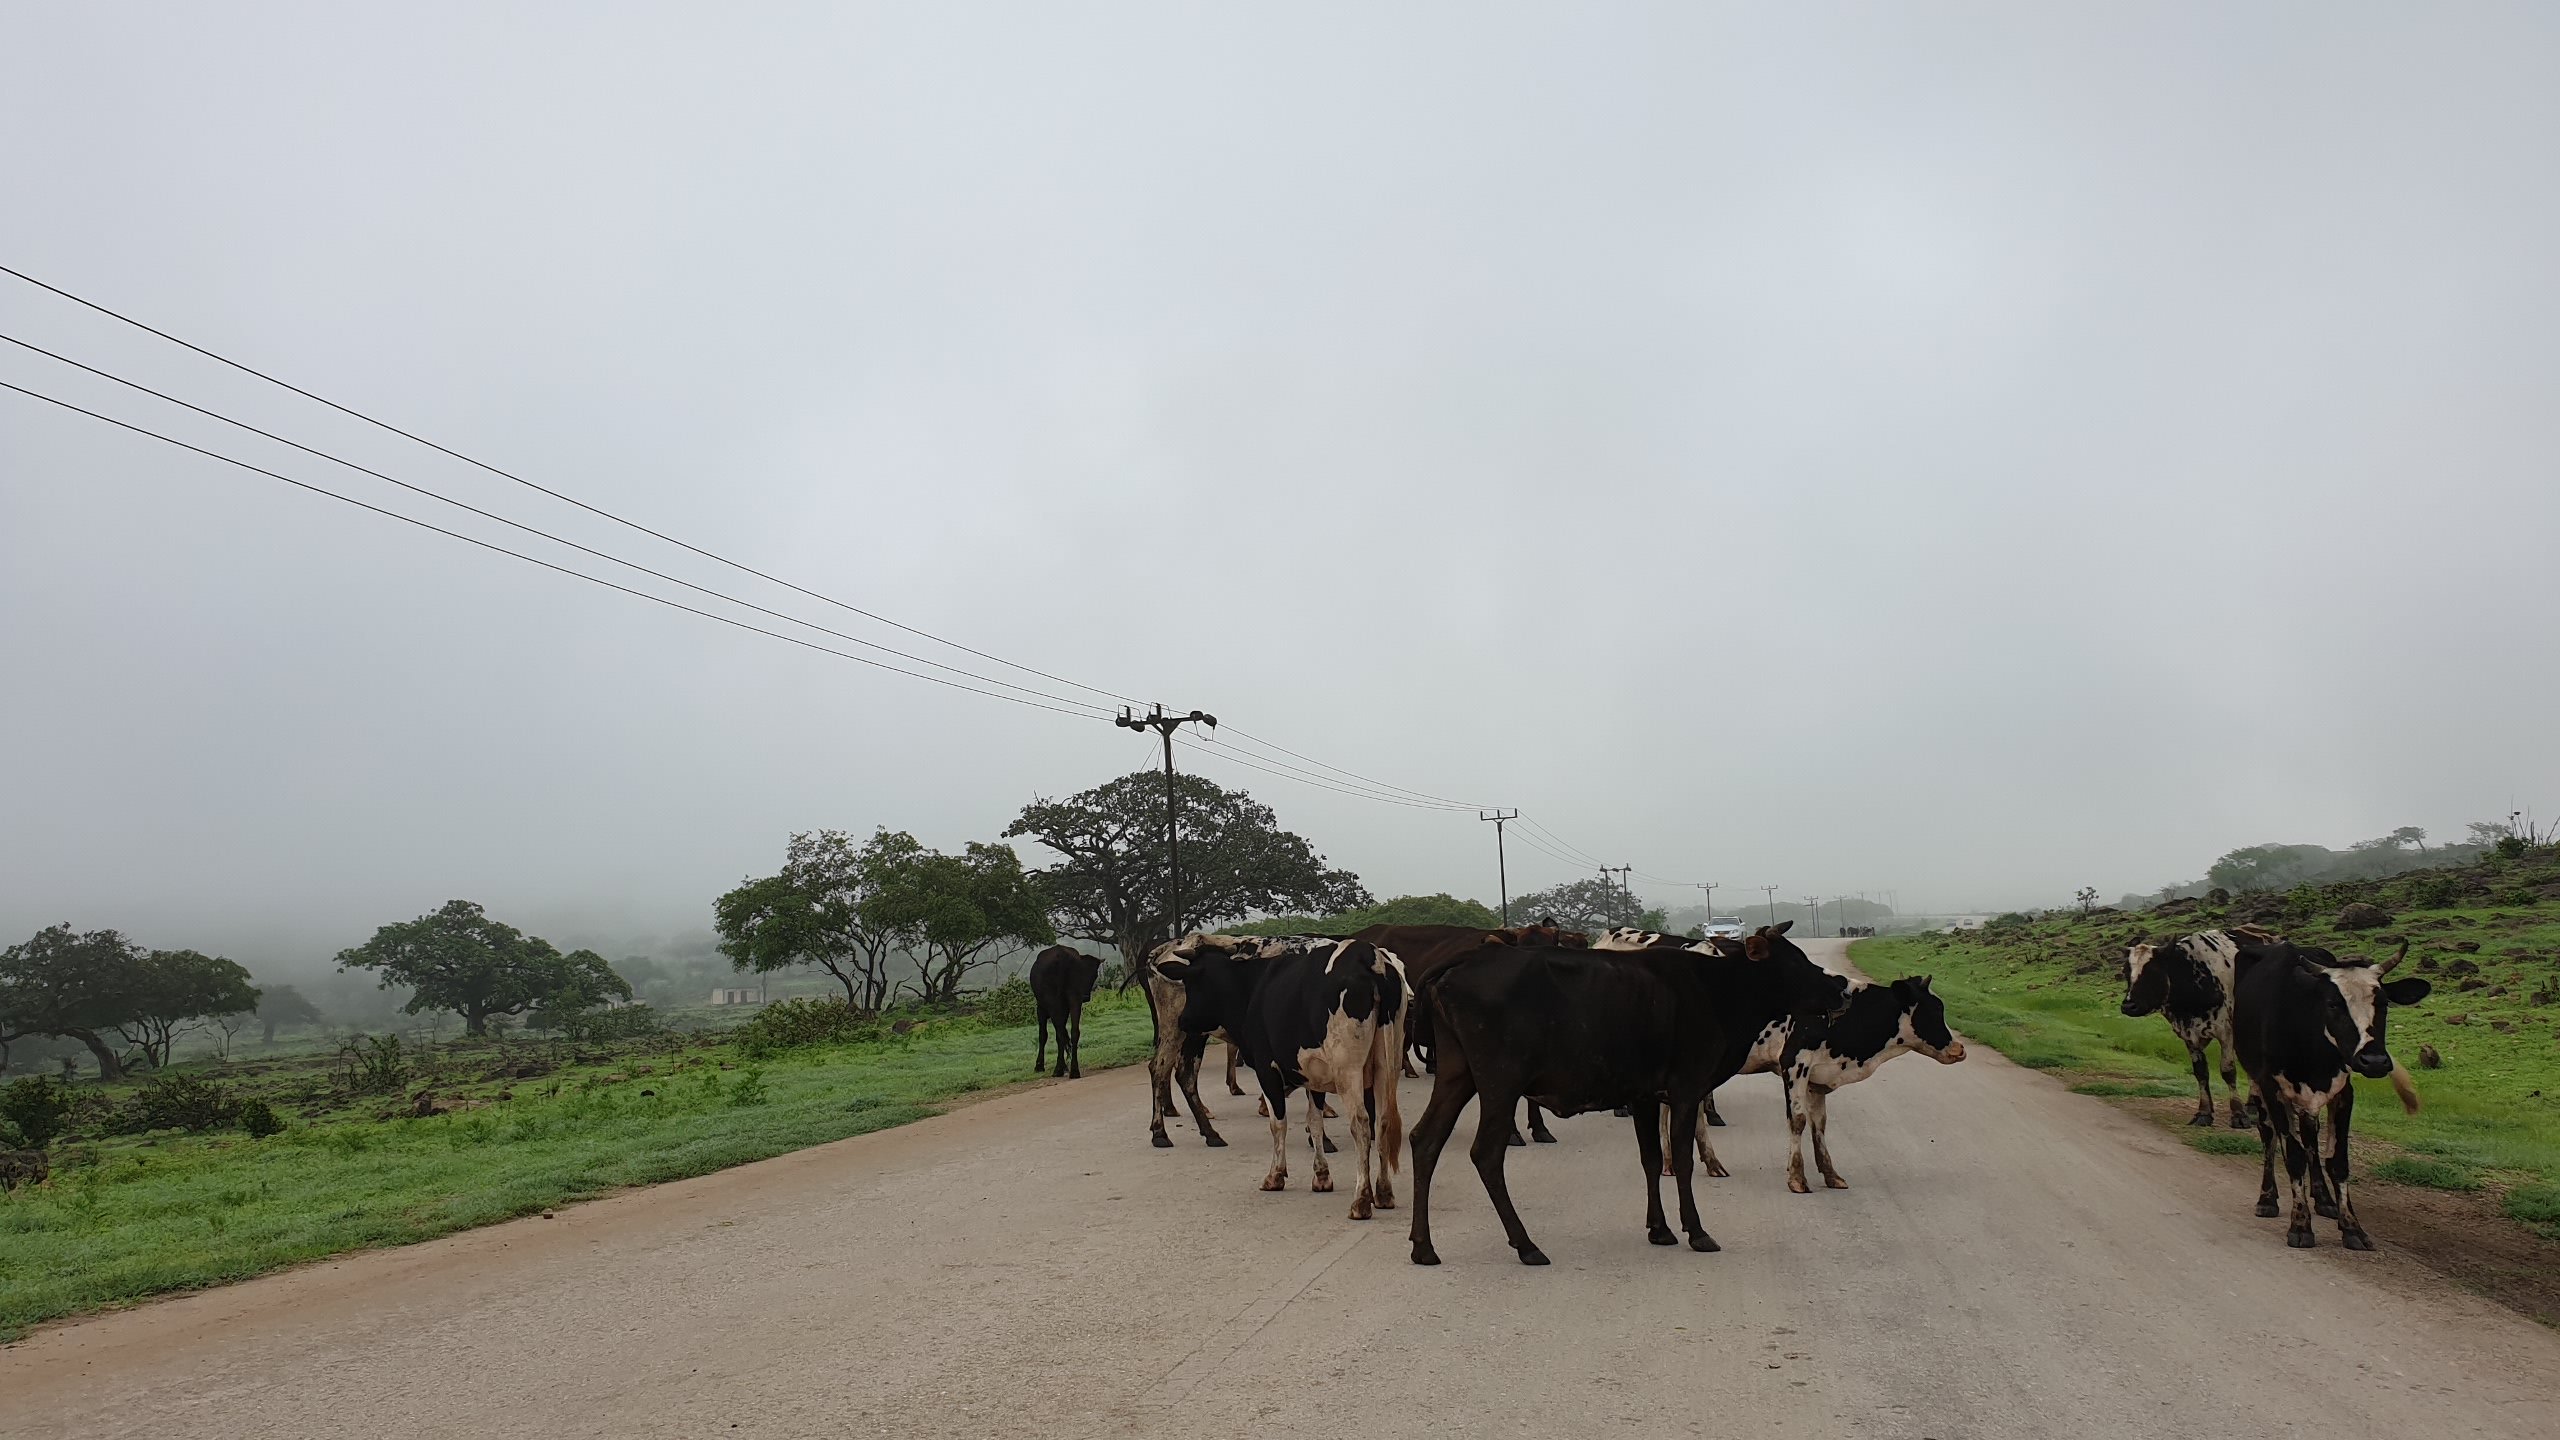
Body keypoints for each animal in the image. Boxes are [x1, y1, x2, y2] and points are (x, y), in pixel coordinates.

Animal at [1152, 932, 1413, 1209]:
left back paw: (1361, 1200)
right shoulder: (1315, 1074)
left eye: (1193, 984)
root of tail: (1371, 959)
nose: (1183, 1020)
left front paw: (1275, 1175)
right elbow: (1315, 1121)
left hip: (1348, 1071)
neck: (1252, 988)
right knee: (1383, 1122)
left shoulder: (1268, 1070)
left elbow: (1278, 1124)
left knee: (1361, 1124)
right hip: (1387, 1067)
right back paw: (1383, 1193)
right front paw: (1321, 1176)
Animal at [1402, 922, 1843, 1260]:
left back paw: (1423, 1246)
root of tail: (1471, 959)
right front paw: (1696, 1231)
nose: (1839, 988)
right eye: (1796, 962)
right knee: (1486, 1154)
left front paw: (1659, 1229)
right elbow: (1682, 1161)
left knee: (1425, 1140)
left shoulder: (1644, 1096)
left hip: (1457, 1075)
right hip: (1500, 1083)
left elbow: (1651, 1160)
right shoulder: (1686, 1091)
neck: (1718, 991)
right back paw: (1525, 1244)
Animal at [2119, 922, 2263, 1127]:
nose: (2128, 1006)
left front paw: (2238, 1114)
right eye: (2126, 972)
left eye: (2152, 971)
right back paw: (2252, 1105)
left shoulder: (2226, 1032)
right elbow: (2200, 1073)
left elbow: (2228, 1071)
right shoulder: (2188, 1035)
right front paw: (2204, 1113)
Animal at [2232, 932, 2426, 1245]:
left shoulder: (2343, 1093)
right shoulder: (2273, 1088)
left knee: (2311, 1136)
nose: (2374, 1061)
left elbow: (2337, 1160)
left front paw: (2352, 1226)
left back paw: (2323, 1199)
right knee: (2269, 1135)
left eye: (2384, 1003)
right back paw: (2268, 1198)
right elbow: (2293, 1155)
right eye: (2334, 1003)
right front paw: (2300, 1224)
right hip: (2257, 1084)